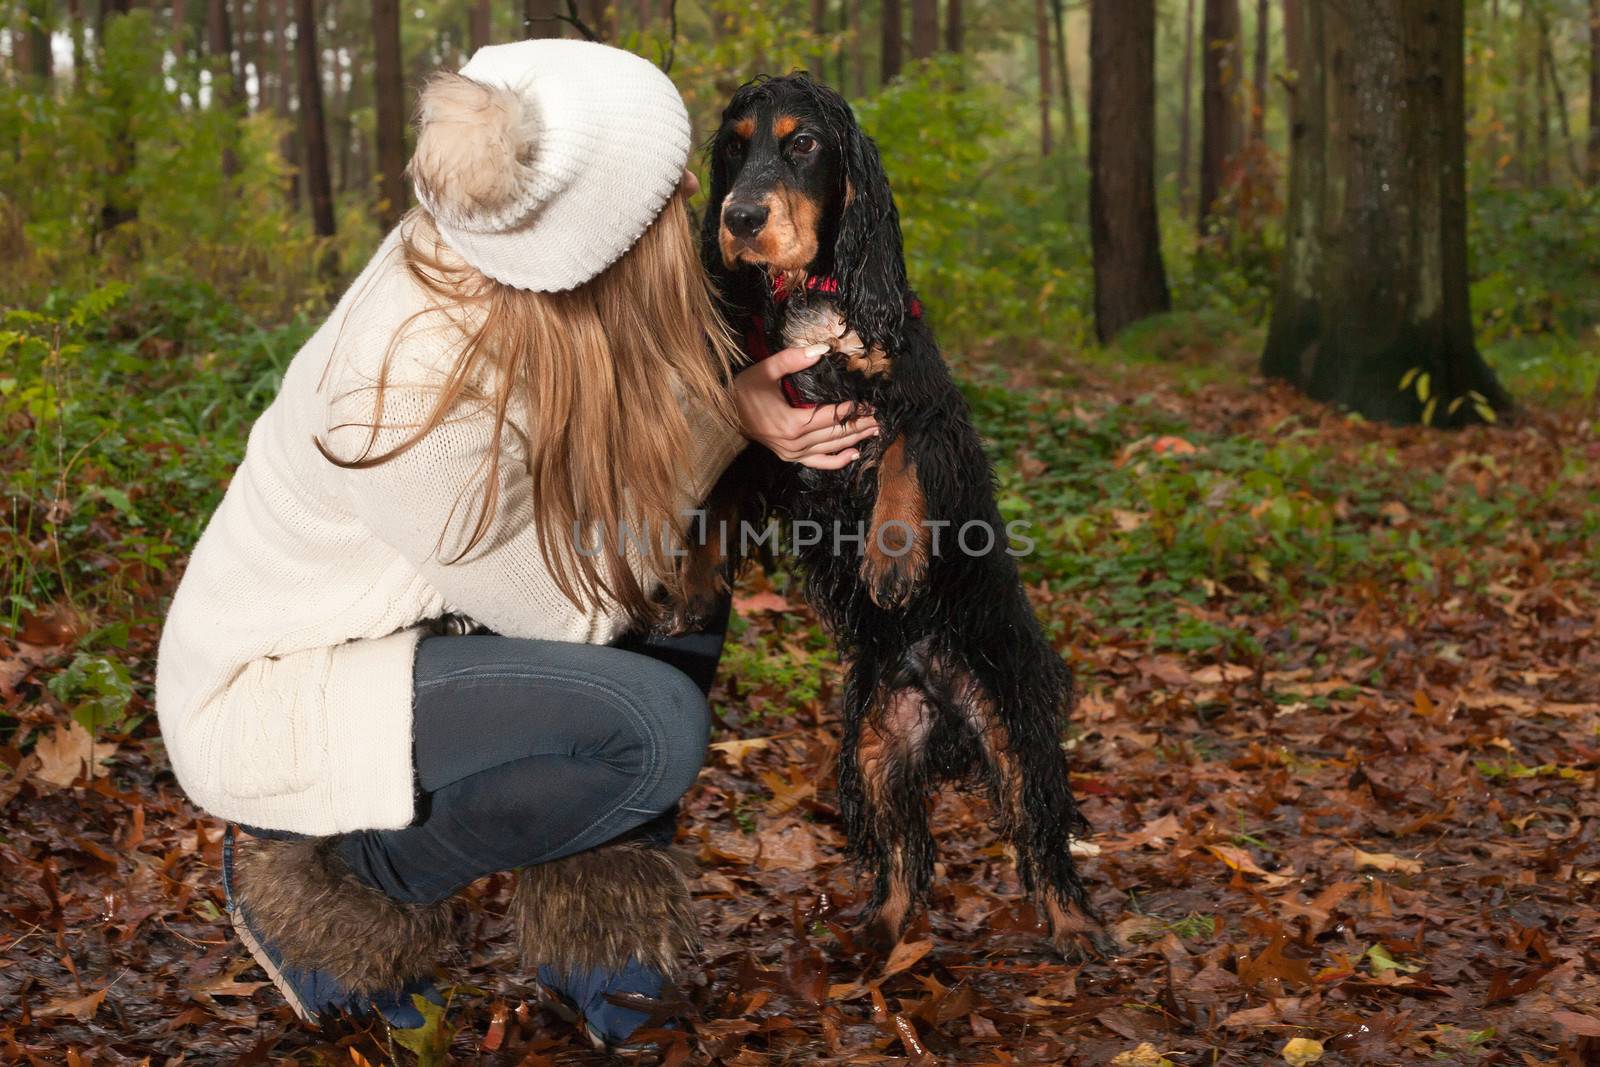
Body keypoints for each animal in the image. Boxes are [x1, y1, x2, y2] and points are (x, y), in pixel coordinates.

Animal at [681, 73, 1107, 959]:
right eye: (734, 145)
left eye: (803, 143)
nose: (740, 218)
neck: (815, 300)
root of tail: (942, 702)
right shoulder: (772, 426)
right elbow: (719, 483)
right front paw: (697, 574)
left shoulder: (929, 407)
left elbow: (908, 453)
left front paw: (894, 558)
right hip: (876, 741)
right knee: (907, 852)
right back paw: (877, 933)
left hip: (1015, 723)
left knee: (1041, 834)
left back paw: (1074, 921)